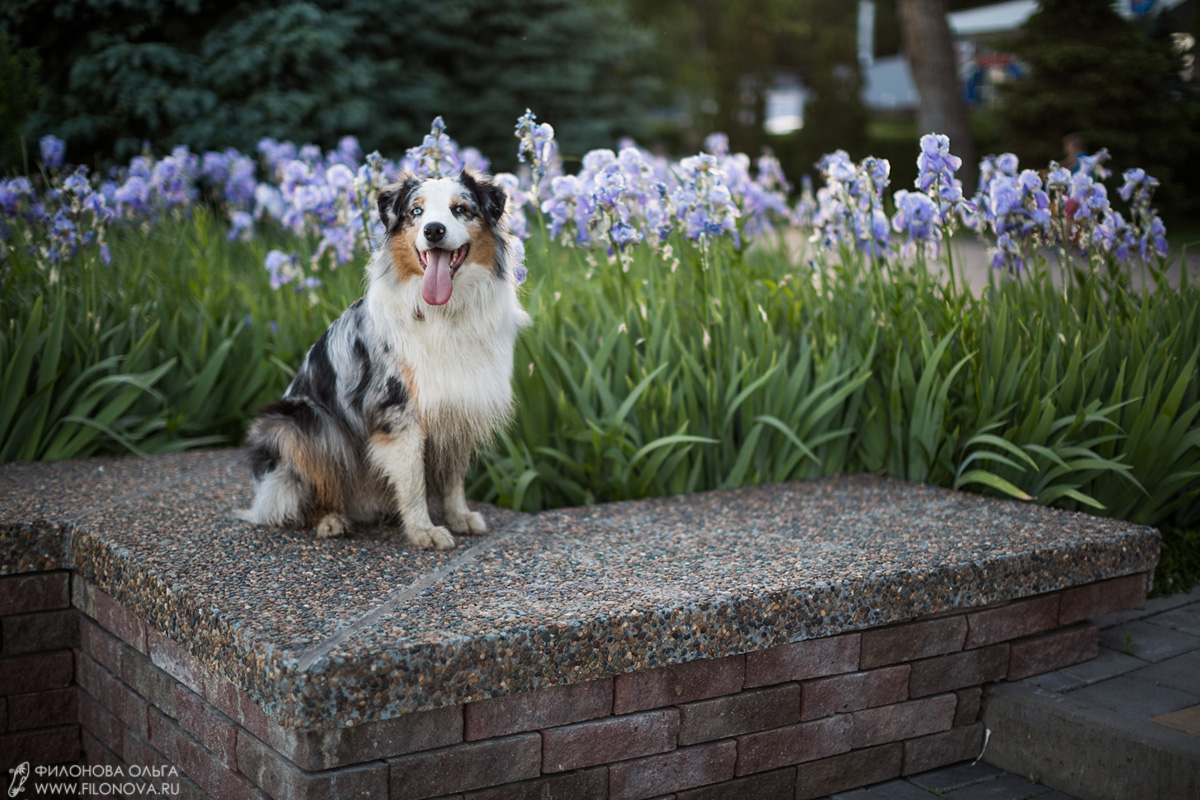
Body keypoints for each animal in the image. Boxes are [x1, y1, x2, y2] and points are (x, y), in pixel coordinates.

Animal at [238, 170, 530, 551]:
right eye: (416, 212)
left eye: (461, 209)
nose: (434, 230)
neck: (445, 312)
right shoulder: (398, 411)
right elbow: (413, 481)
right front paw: (424, 531)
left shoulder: (459, 403)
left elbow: (453, 477)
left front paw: (459, 516)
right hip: (299, 422)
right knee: (300, 493)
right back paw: (330, 519)